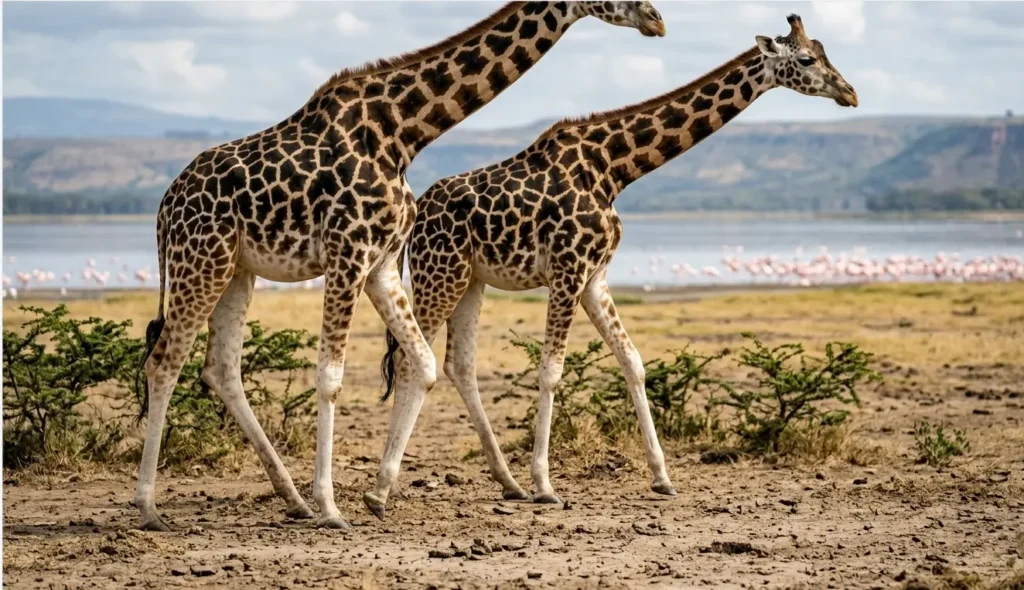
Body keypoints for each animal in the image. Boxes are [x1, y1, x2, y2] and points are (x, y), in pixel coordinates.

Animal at [134, 1, 666, 532]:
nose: (655, 20)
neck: (402, 132)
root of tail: (164, 207)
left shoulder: (381, 262)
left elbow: (423, 363)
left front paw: (368, 493)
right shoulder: (347, 251)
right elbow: (331, 376)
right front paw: (333, 508)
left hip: (236, 269)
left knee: (220, 368)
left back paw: (293, 500)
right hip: (200, 259)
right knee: (165, 361)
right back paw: (150, 507)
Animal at [369, 13, 857, 516]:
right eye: (807, 59)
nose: (850, 93)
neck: (615, 169)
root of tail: (419, 214)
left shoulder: (595, 279)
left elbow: (633, 361)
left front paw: (662, 477)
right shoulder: (567, 270)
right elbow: (551, 371)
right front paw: (545, 483)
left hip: (470, 280)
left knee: (458, 365)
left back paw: (505, 481)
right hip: (439, 273)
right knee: (410, 360)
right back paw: (385, 487)